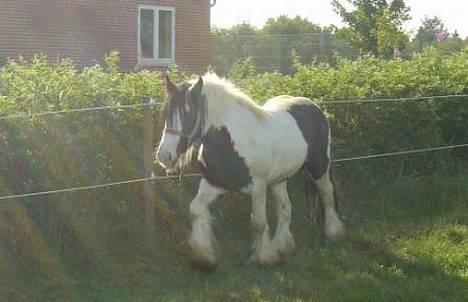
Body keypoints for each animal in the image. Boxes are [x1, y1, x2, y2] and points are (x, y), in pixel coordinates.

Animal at [157, 73, 344, 268]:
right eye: (166, 112)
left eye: (188, 113)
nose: (164, 156)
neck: (232, 140)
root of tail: (314, 107)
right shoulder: (212, 183)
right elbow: (195, 208)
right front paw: (204, 256)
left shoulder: (258, 187)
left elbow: (258, 223)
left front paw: (264, 257)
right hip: (279, 179)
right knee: (285, 207)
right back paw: (282, 246)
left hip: (320, 168)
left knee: (327, 195)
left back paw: (333, 232)